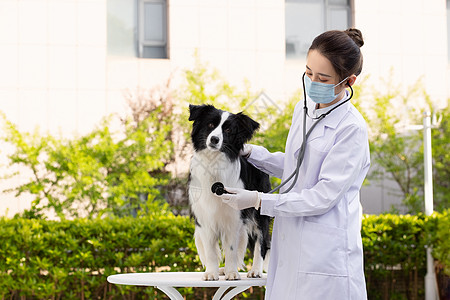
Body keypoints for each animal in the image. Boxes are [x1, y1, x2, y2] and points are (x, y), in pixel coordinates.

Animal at [187, 104, 270, 280]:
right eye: (210, 125)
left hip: (260, 212)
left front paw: (232, 273)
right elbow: (211, 251)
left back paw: (255, 271)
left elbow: (231, 249)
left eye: (228, 130)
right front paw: (211, 273)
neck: (214, 162)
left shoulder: (234, 218)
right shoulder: (205, 218)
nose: (214, 139)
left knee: (261, 241)